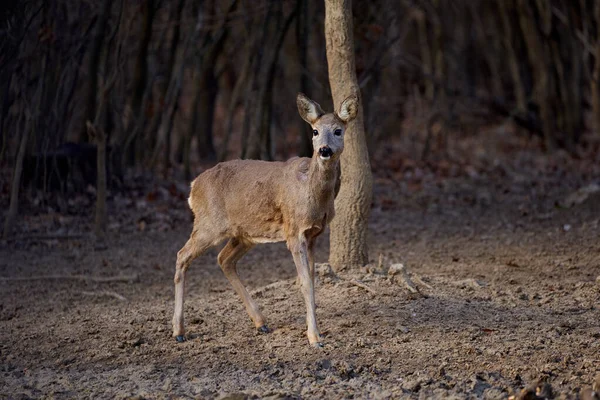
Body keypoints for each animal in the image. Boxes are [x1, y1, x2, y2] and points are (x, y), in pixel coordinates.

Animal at [173, 92, 360, 346]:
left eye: (338, 130)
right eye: (315, 131)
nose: (324, 150)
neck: (312, 194)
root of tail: (193, 187)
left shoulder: (314, 234)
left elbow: (311, 279)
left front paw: (315, 331)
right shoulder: (293, 231)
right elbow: (304, 282)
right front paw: (314, 337)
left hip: (244, 233)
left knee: (224, 259)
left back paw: (261, 322)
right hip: (209, 224)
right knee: (182, 255)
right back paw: (179, 331)